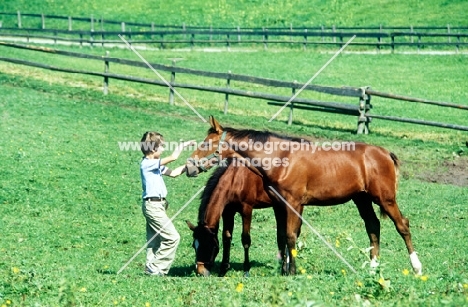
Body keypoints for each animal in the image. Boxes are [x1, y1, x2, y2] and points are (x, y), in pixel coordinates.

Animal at [187, 116, 424, 276]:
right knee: (373, 226)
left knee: (402, 225)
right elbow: (283, 236)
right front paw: (285, 269)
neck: (282, 158)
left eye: (206, 143)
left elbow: (291, 236)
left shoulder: (292, 204)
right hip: (362, 199)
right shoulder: (280, 205)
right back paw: (373, 268)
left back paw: (416, 267)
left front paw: (291, 271)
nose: (189, 166)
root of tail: (384, 153)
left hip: (385, 199)